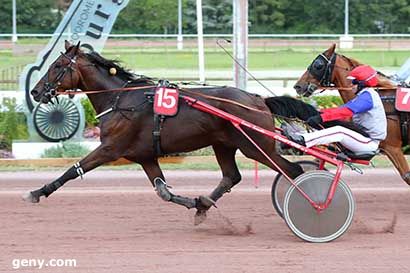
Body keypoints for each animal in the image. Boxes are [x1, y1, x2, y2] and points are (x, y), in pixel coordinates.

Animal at [24, 41, 302, 223]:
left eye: (58, 65)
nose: (36, 91)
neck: (120, 99)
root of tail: (258, 99)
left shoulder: (110, 148)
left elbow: (74, 170)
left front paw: (37, 192)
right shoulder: (145, 156)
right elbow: (164, 191)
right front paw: (195, 203)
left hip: (255, 146)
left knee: (293, 170)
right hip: (223, 144)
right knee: (231, 177)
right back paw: (204, 206)